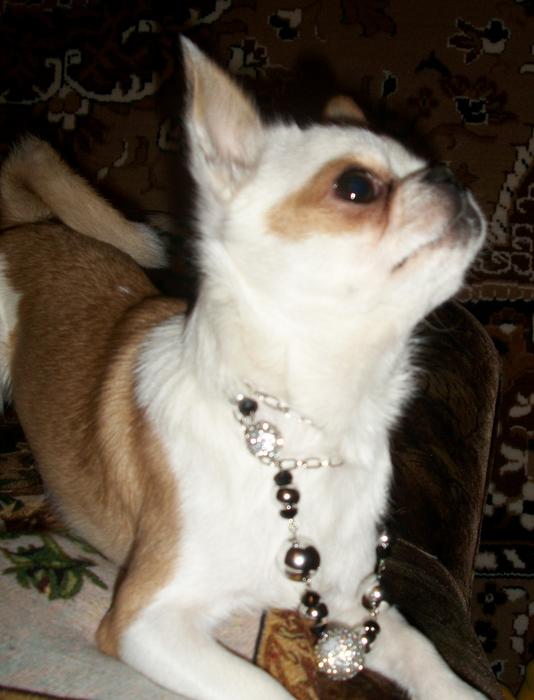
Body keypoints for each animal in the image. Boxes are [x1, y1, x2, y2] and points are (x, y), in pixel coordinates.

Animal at [0, 37, 487, 700]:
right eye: (356, 187)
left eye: (425, 161)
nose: (449, 174)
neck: (313, 427)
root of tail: (29, 229)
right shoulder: (146, 622)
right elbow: (263, 689)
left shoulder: (357, 601)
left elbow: (429, 659)